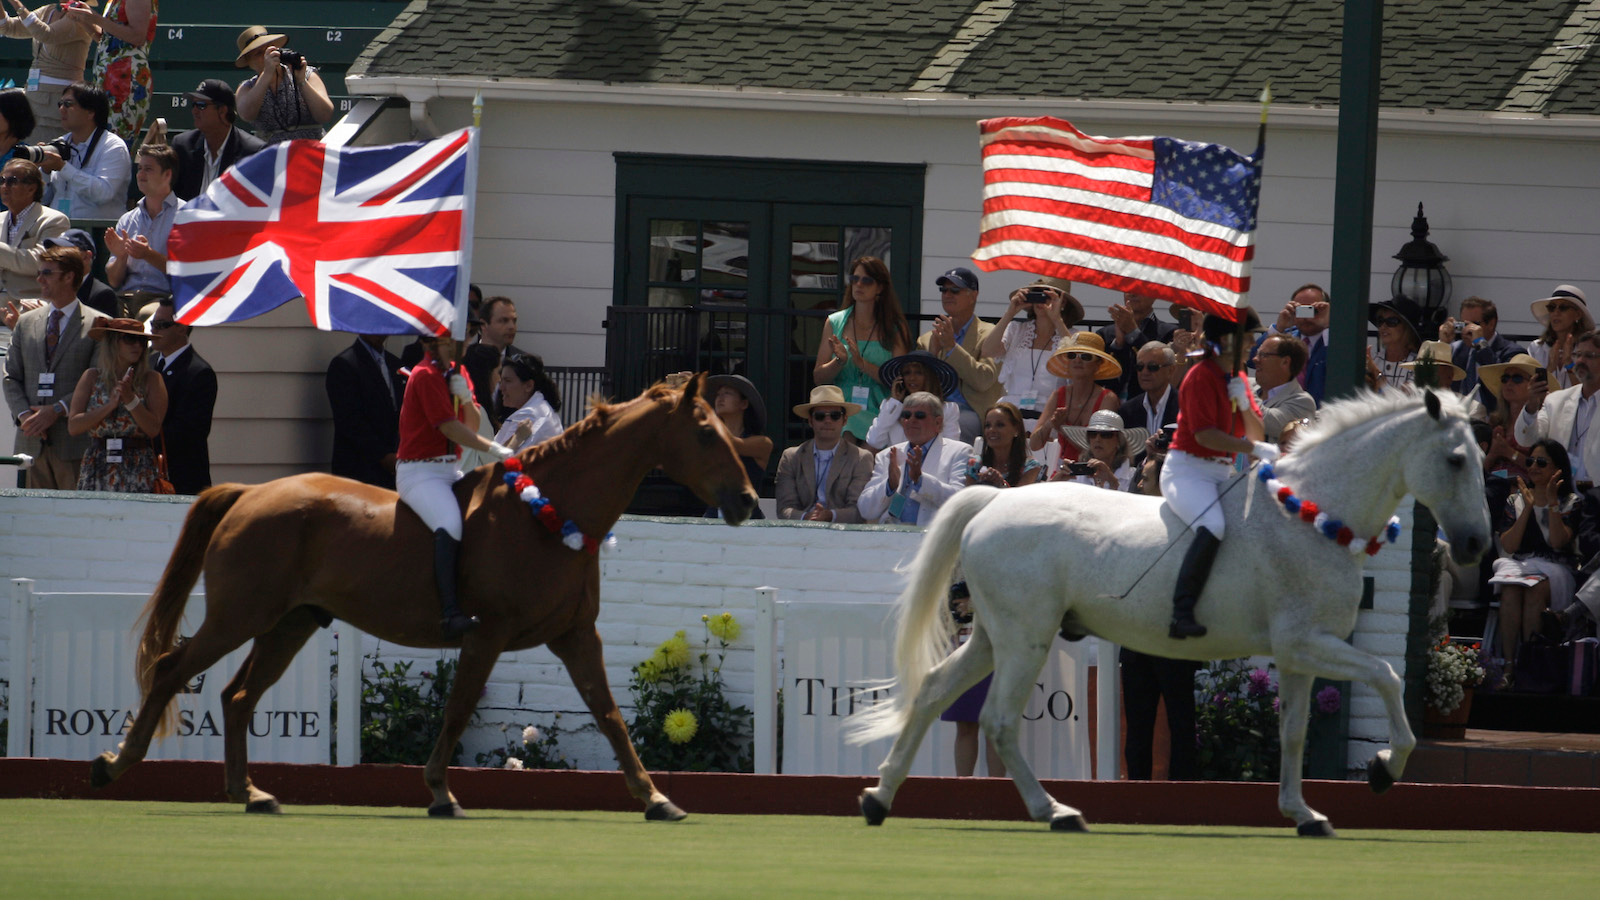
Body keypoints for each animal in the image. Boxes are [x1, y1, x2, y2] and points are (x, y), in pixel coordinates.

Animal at [89, 368, 755, 816]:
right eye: (704, 434)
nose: (747, 502)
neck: (550, 512)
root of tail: (252, 492)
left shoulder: (574, 636)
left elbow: (610, 715)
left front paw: (655, 797)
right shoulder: (487, 635)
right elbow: (458, 709)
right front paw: (439, 791)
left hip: (289, 623)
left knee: (236, 696)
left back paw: (248, 792)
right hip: (240, 616)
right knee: (173, 668)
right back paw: (116, 766)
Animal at [857, 389, 1491, 832]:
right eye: (1457, 460)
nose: (1475, 545)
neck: (1311, 516)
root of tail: (995, 498)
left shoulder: (1299, 654)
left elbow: (1293, 732)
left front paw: (1303, 814)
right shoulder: (1307, 643)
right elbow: (1386, 676)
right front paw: (1386, 767)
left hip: (995, 636)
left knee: (934, 690)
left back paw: (879, 798)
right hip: (1025, 637)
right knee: (998, 720)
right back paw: (1054, 811)